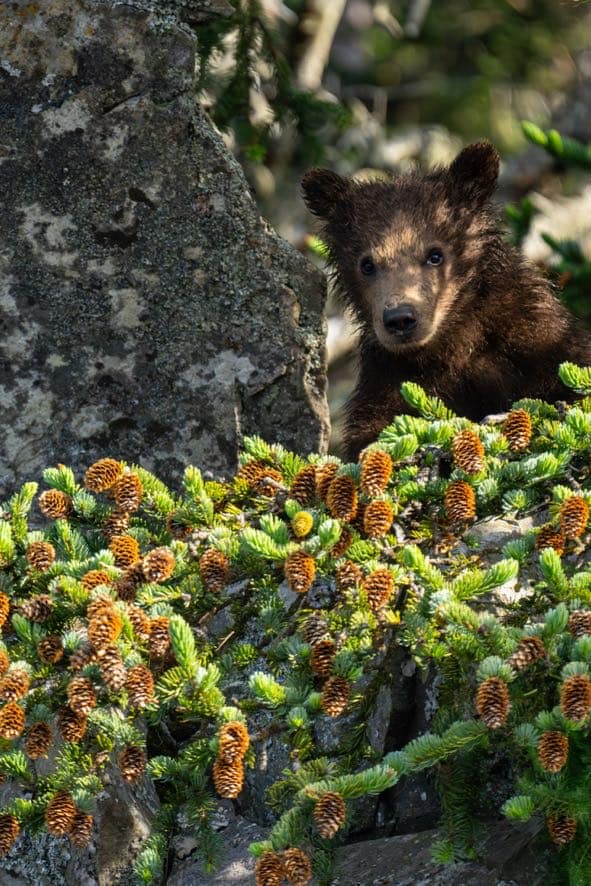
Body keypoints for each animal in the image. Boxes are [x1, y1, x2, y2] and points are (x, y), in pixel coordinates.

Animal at [302, 142, 591, 461]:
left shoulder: (534, 335)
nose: (401, 319)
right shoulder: (388, 375)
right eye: (366, 264)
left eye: (435, 254)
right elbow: (372, 428)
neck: (454, 340)